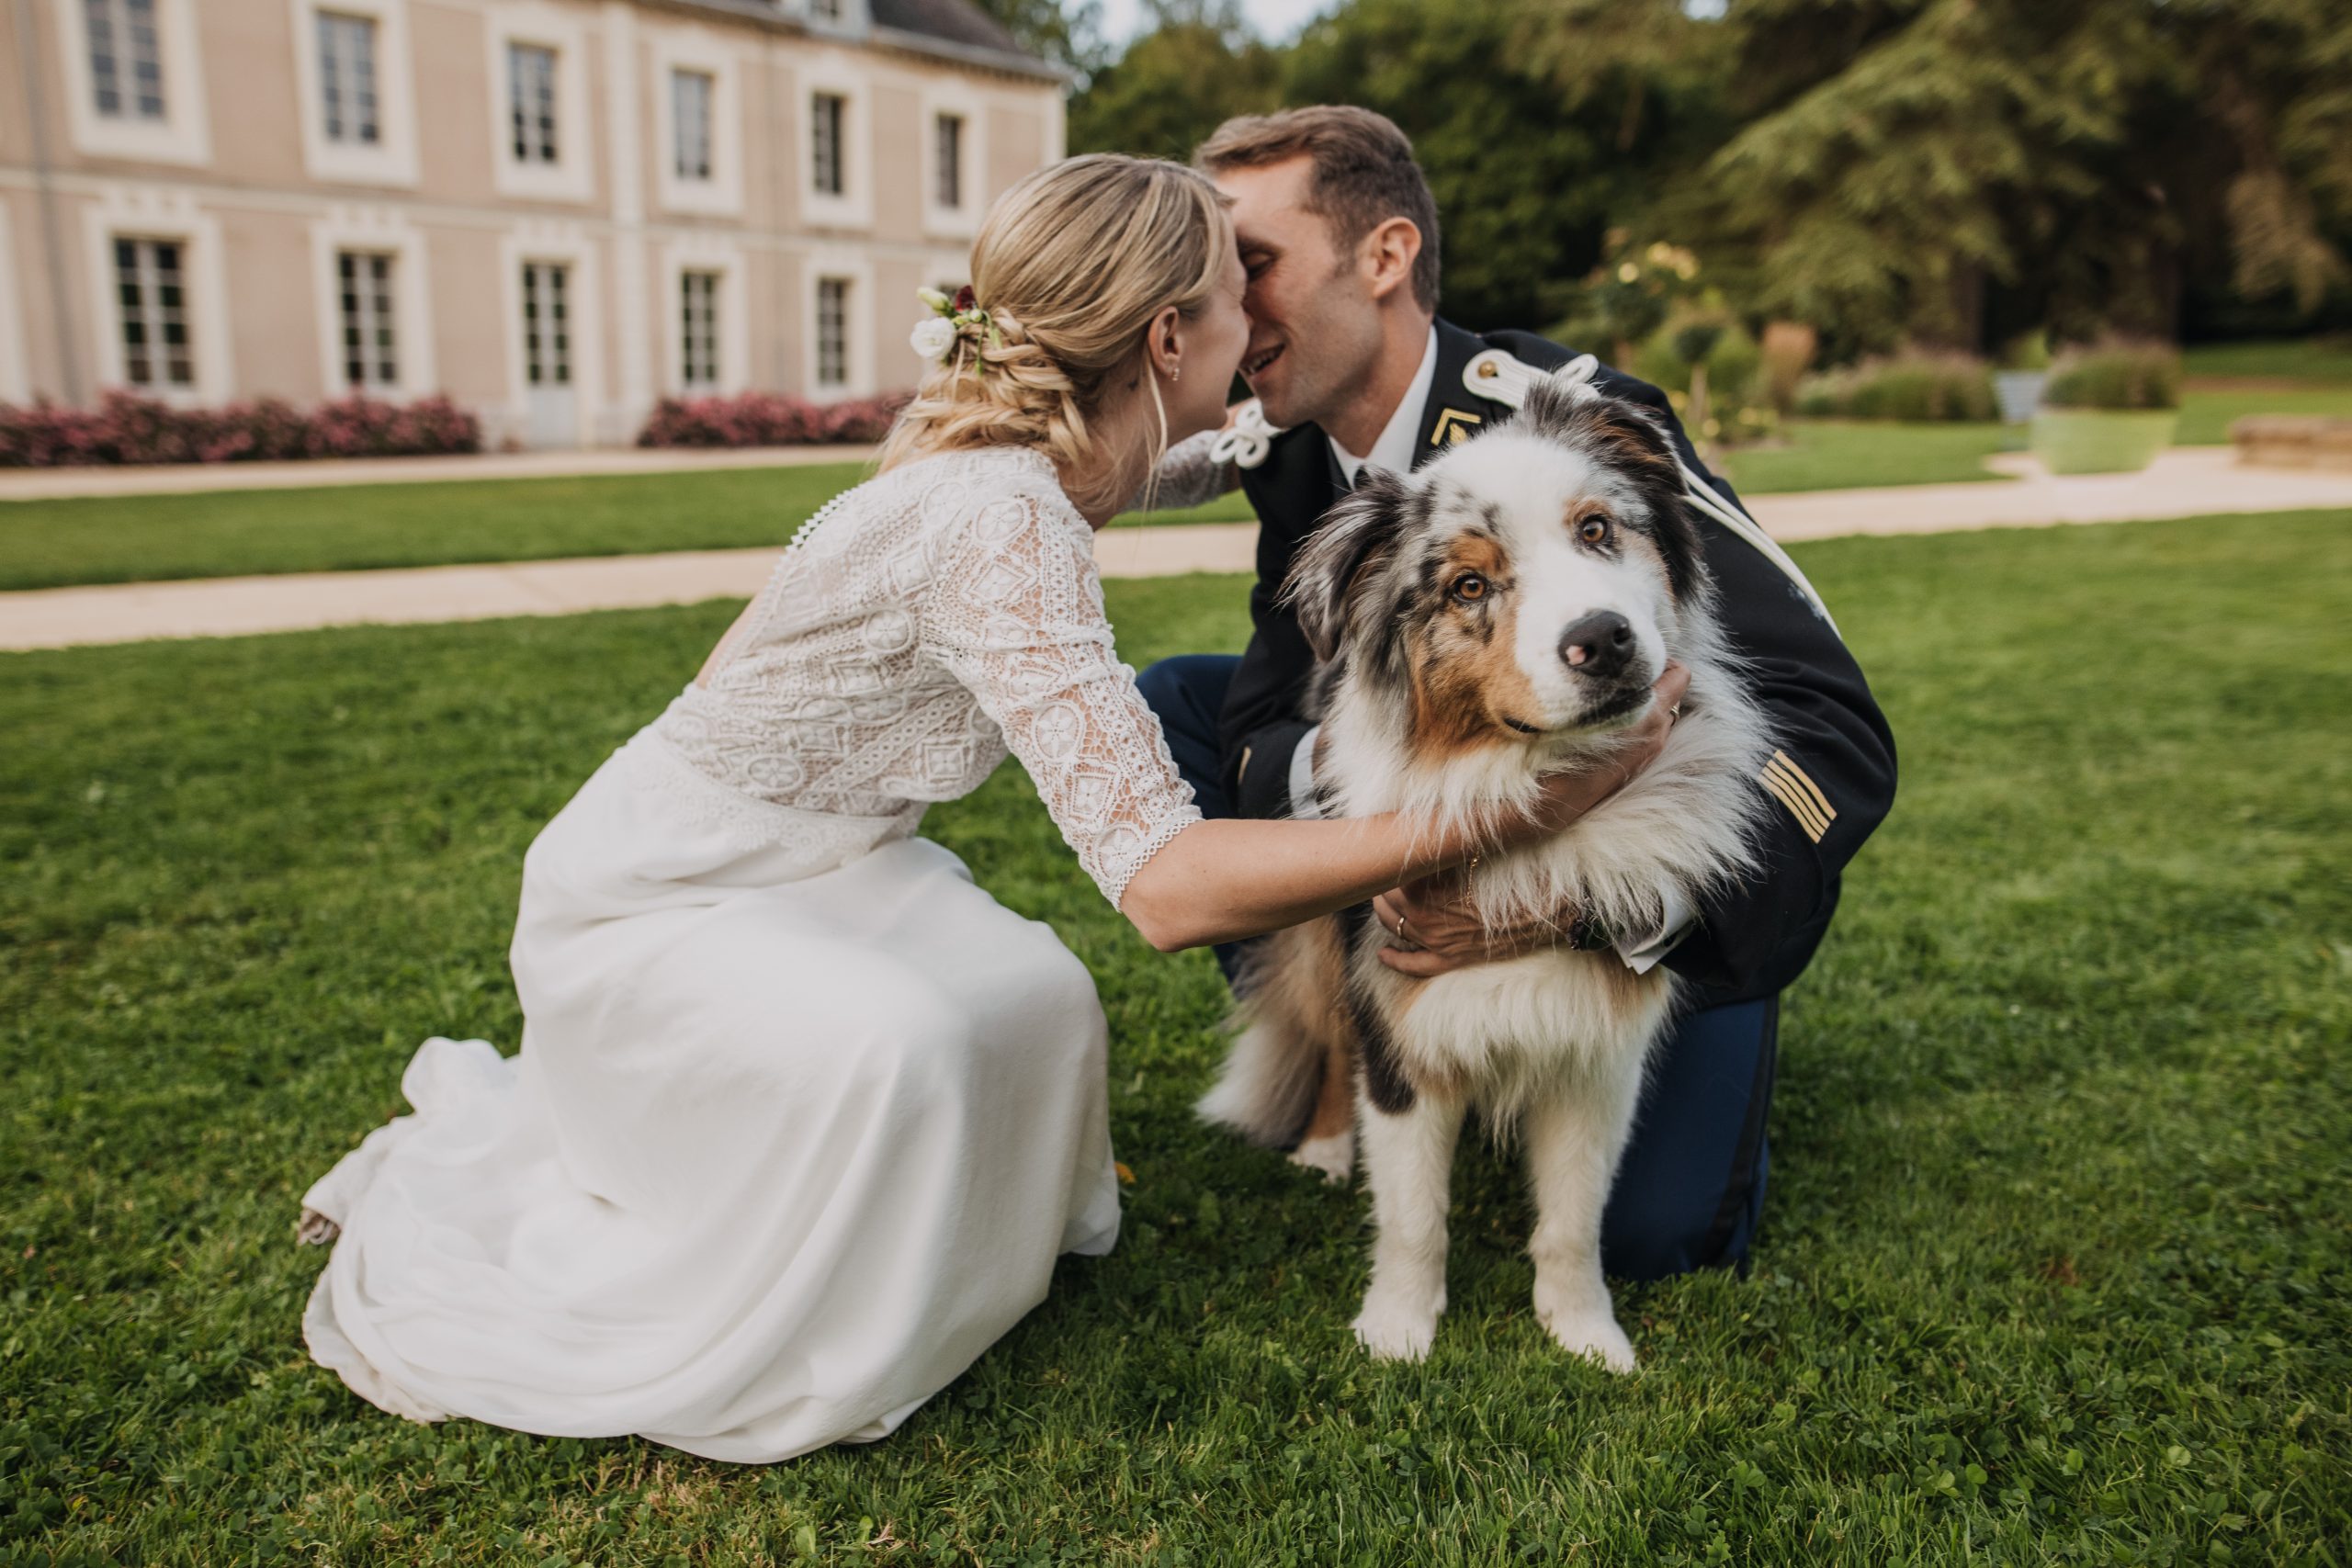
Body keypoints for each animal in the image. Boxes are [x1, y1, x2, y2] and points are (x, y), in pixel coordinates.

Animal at [1204, 368, 1769, 1372]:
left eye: (1597, 529)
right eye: (1469, 585)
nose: (1604, 640)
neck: (1533, 789)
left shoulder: (1600, 1050)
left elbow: (1575, 1220)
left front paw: (1585, 1333)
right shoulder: (1397, 1026)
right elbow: (1412, 1214)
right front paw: (1397, 1330)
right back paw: (1323, 1146)